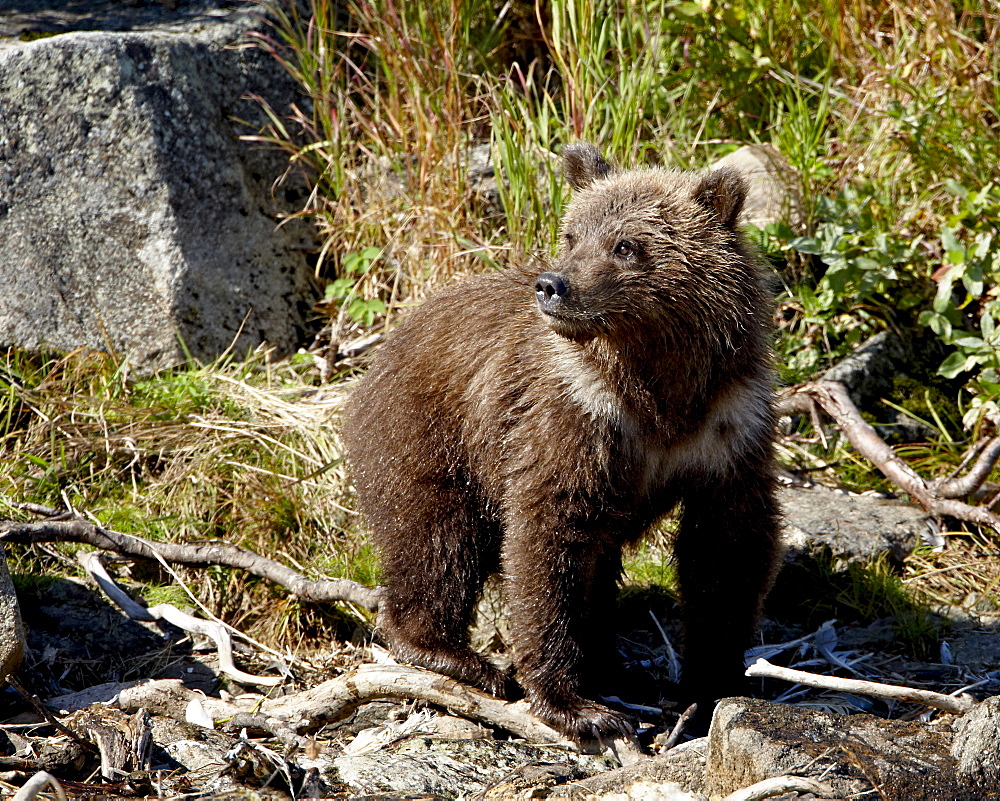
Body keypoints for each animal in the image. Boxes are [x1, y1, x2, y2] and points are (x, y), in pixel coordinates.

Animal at [344, 142, 780, 736]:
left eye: (626, 245)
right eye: (573, 234)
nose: (553, 285)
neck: (659, 389)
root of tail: (378, 353)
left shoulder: (728, 427)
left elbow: (726, 548)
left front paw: (711, 682)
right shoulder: (576, 416)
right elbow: (547, 537)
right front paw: (574, 705)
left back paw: (613, 668)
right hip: (430, 433)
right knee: (439, 538)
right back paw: (454, 655)